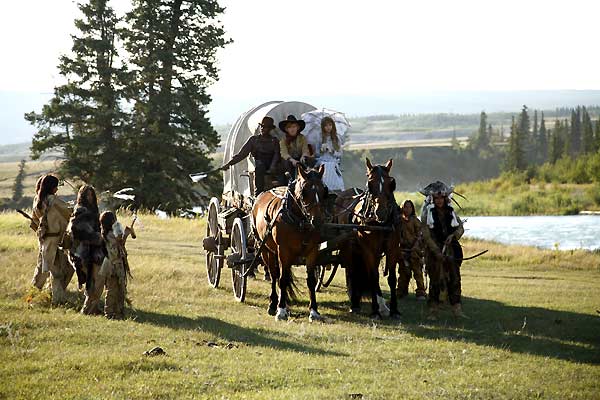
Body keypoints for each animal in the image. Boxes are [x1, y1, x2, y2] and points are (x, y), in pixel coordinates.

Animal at [253, 164, 328, 320]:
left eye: (324, 191)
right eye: (304, 192)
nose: (317, 221)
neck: (299, 221)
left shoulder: (313, 251)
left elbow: (311, 281)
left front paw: (314, 311)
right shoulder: (284, 250)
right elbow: (282, 279)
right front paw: (280, 310)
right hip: (266, 250)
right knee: (274, 275)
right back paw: (273, 304)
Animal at [336, 159, 400, 318]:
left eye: (391, 183)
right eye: (370, 183)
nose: (380, 212)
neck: (381, 223)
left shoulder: (393, 248)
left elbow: (391, 278)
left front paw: (394, 310)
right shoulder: (369, 249)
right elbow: (373, 277)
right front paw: (375, 310)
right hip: (348, 248)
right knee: (352, 271)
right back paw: (355, 303)